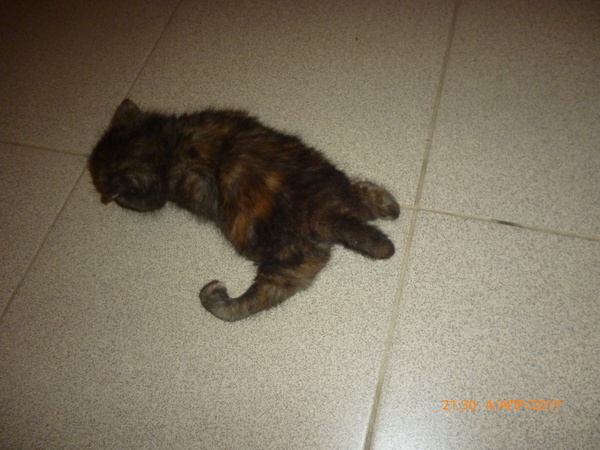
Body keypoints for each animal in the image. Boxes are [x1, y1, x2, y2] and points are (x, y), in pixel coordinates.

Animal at [89, 99, 400, 322]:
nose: (104, 194)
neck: (163, 144)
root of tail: (323, 210)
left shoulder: (157, 191)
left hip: (281, 261)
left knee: (246, 305)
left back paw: (215, 298)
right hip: (314, 228)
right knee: (363, 202)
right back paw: (387, 203)